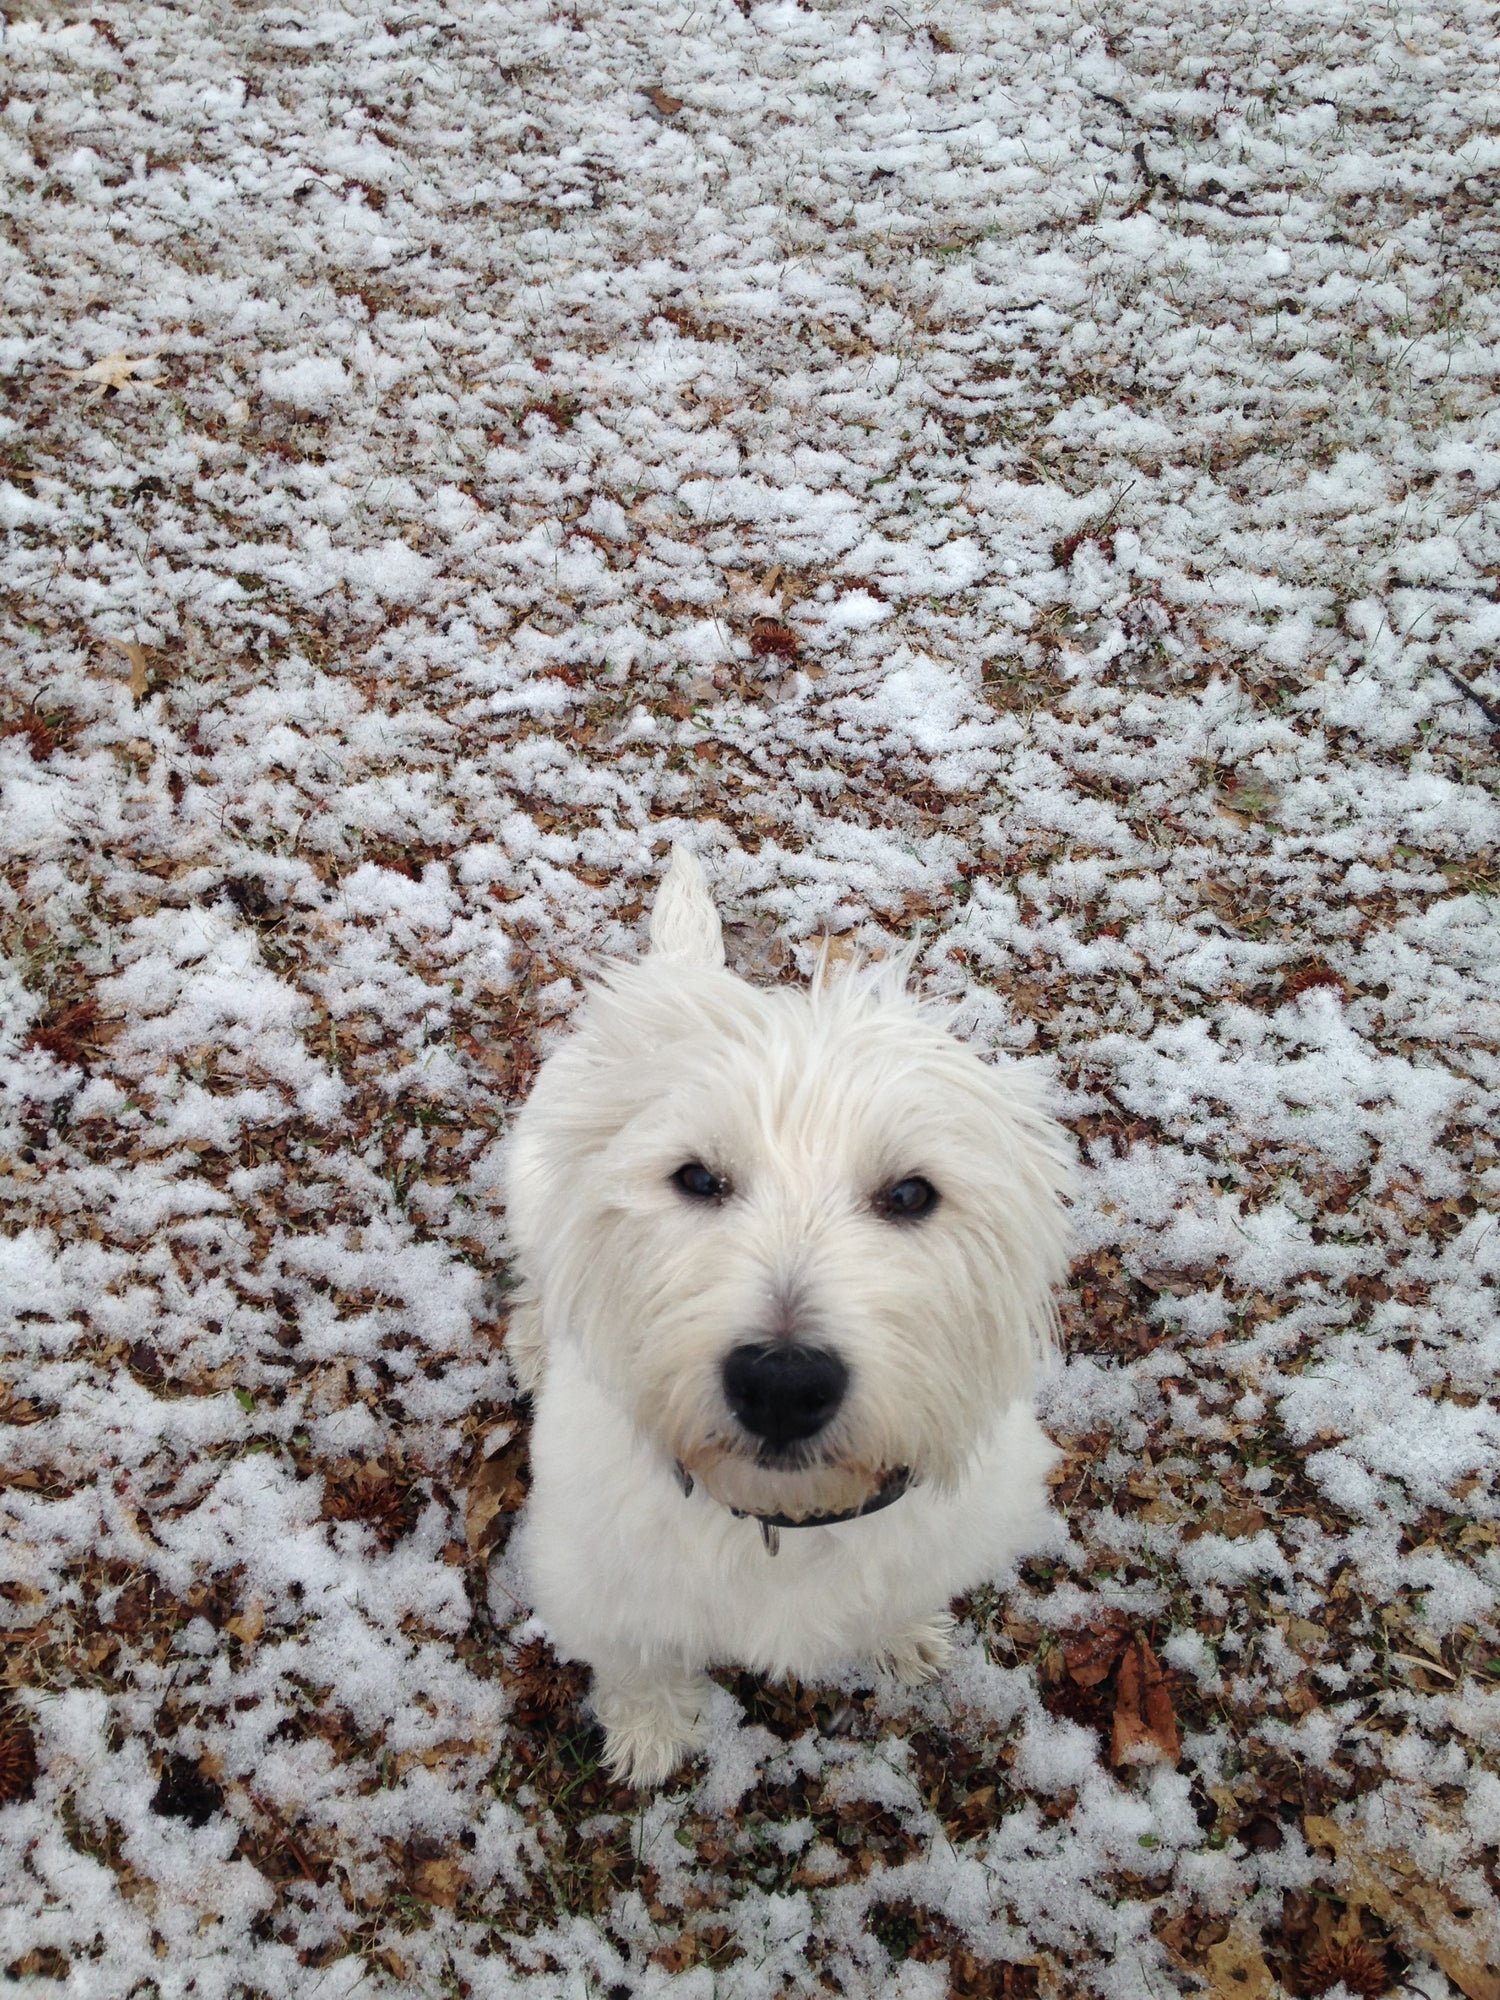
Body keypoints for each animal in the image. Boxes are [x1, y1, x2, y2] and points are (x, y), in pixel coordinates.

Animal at [502, 844, 1072, 1784]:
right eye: (696, 1177)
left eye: (911, 1194)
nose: (782, 1385)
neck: (785, 1520)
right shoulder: (595, 1583)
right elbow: (637, 1661)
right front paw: (651, 1733)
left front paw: (904, 1638)